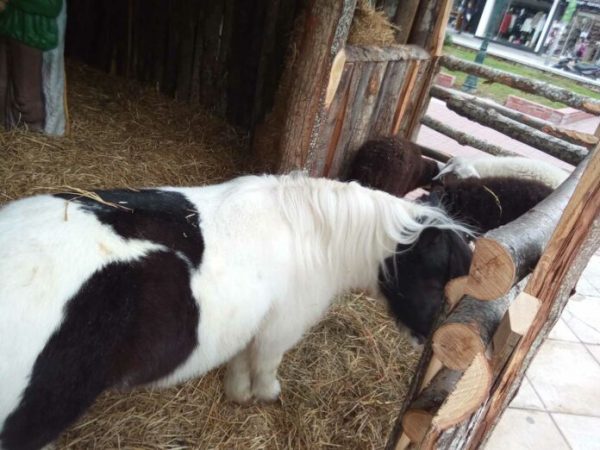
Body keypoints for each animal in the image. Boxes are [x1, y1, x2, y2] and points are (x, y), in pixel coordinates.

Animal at [0, 173, 472, 450]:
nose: (431, 334)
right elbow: (264, 366)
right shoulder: (280, 329)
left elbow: (240, 360)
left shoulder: (254, 324)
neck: (313, 234)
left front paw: (237, 393)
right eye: (436, 276)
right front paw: (264, 395)